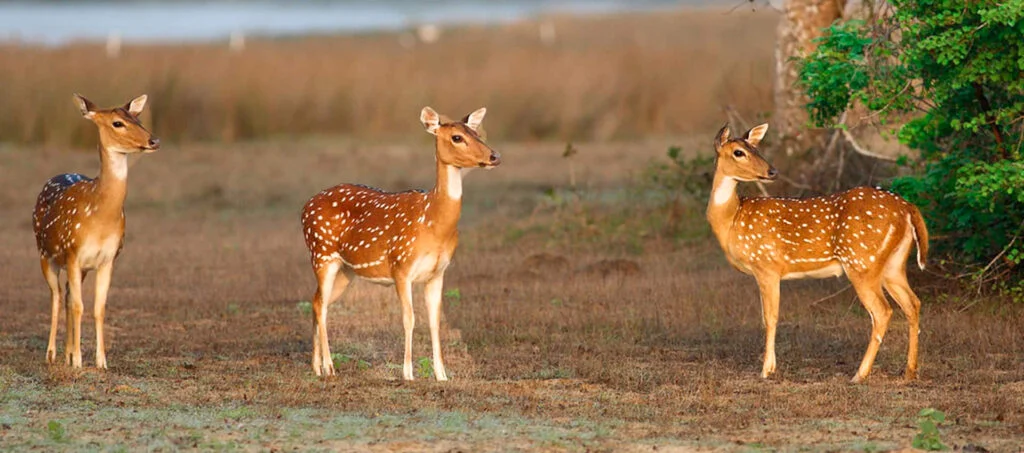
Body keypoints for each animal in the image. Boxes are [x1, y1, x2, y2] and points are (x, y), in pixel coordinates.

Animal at [33, 94, 160, 369]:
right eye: (117, 123)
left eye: (138, 118)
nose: (154, 140)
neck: (100, 218)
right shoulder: (72, 251)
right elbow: (79, 306)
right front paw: (80, 361)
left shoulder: (108, 258)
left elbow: (98, 307)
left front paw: (100, 361)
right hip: (45, 254)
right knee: (57, 295)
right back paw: (52, 354)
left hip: (77, 268)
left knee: (67, 295)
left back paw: (67, 353)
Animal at [301, 106, 500, 380]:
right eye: (457, 137)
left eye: (477, 133)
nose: (494, 156)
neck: (433, 223)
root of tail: (304, 207)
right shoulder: (401, 266)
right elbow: (409, 318)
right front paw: (408, 373)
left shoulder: (438, 272)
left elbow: (434, 321)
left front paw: (442, 375)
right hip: (322, 253)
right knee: (321, 305)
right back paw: (330, 367)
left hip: (346, 271)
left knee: (316, 301)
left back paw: (316, 367)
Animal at [706, 123, 929, 383]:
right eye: (739, 152)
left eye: (756, 148)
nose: (772, 171)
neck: (732, 220)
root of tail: (908, 208)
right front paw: (770, 367)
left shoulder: (766, 265)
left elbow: (770, 318)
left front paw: (766, 370)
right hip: (893, 264)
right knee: (913, 303)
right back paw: (909, 372)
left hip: (862, 261)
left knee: (882, 311)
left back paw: (859, 374)